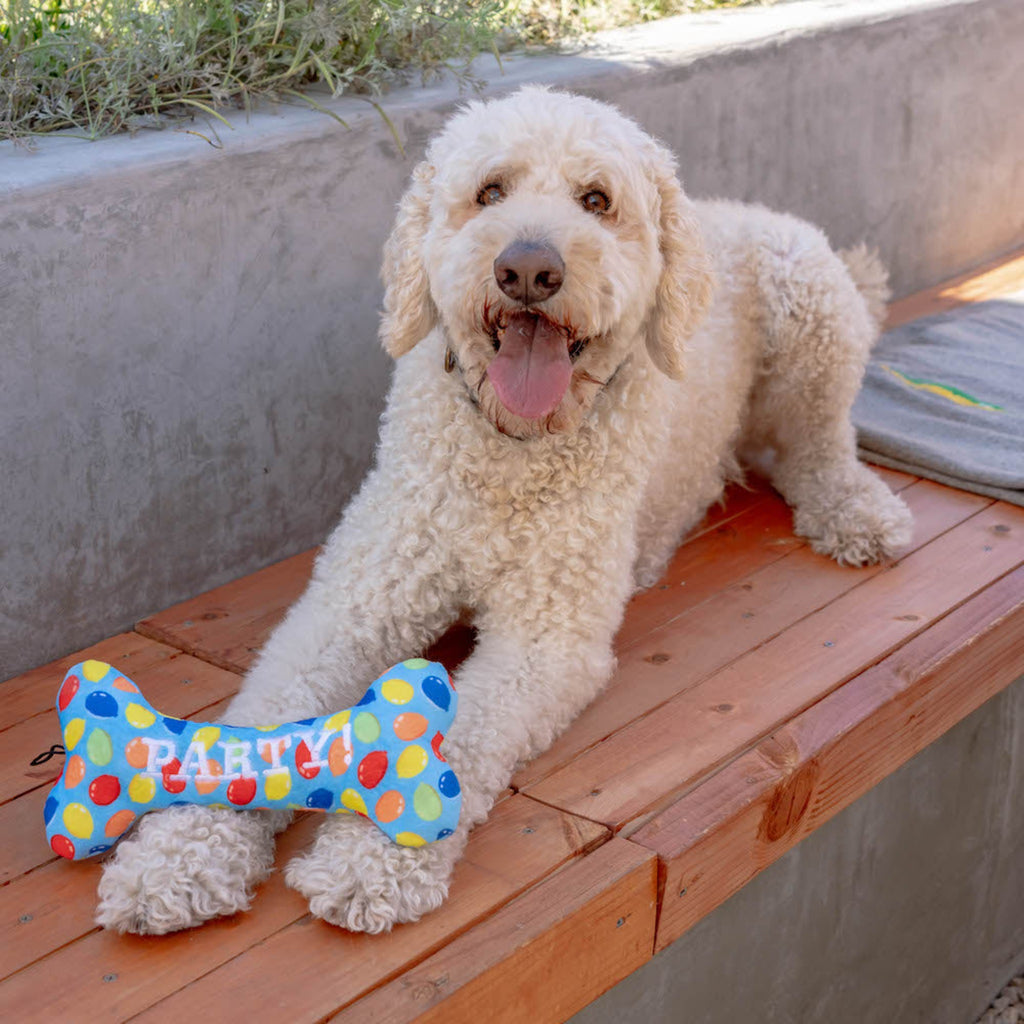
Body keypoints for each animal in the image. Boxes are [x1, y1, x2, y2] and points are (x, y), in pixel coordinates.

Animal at [96, 90, 913, 937]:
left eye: (597, 200)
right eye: (490, 191)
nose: (526, 268)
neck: (506, 453)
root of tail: (745, 210)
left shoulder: (544, 642)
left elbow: (458, 740)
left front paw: (376, 858)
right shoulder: (353, 601)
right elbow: (265, 714)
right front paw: (181, 852)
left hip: (807, 302)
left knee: (821, 442)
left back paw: (855, 510)